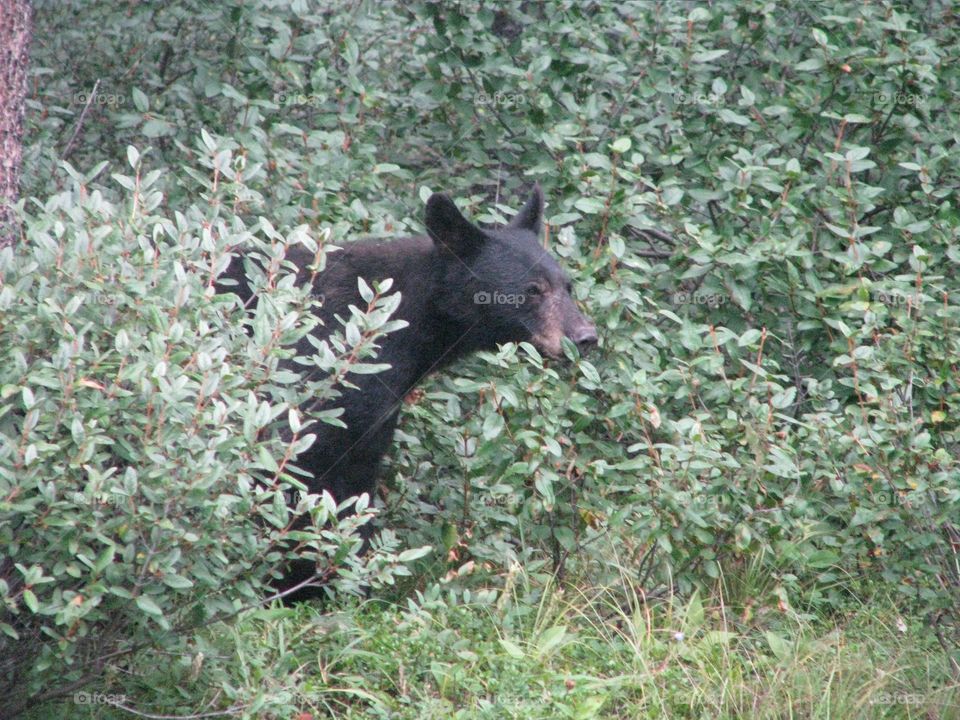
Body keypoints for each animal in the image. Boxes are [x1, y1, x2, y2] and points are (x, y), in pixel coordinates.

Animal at [223, 184, 592, 596]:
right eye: (532, 289)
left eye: (567, 286)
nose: (585, 336)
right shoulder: (316, 382)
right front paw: (301, 585)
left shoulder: (377, 408)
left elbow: (358, 476)